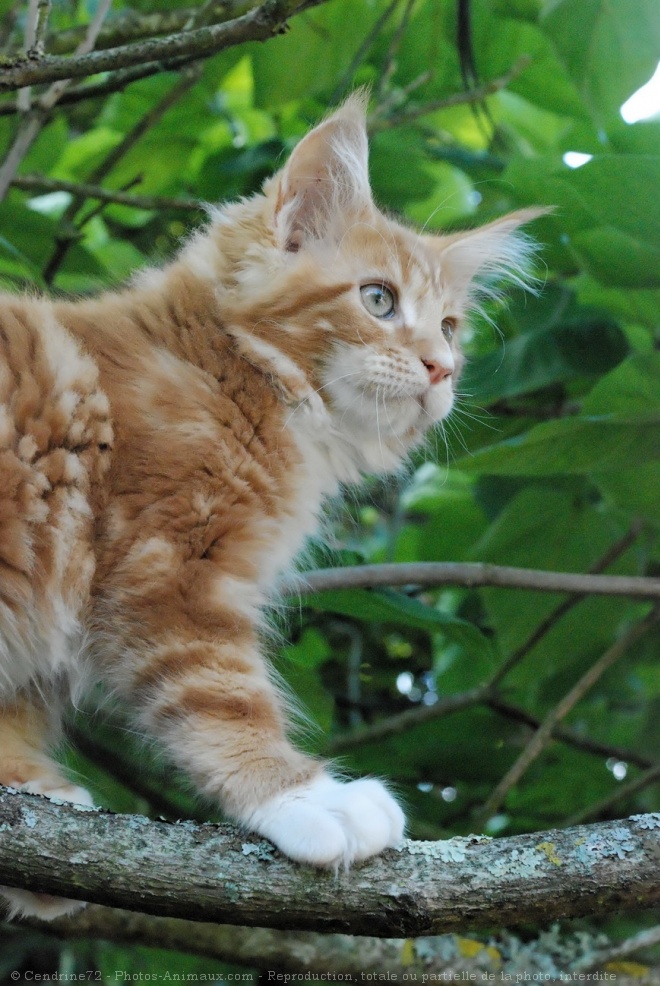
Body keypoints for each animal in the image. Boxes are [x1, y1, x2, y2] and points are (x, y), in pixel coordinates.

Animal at [0, 92, 540, 916]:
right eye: (378, 299)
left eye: (451, 327)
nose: (442, 368)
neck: (236, 371)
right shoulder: (165, 572)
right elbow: (222, 696)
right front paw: (305, 799)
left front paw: (31, 791)